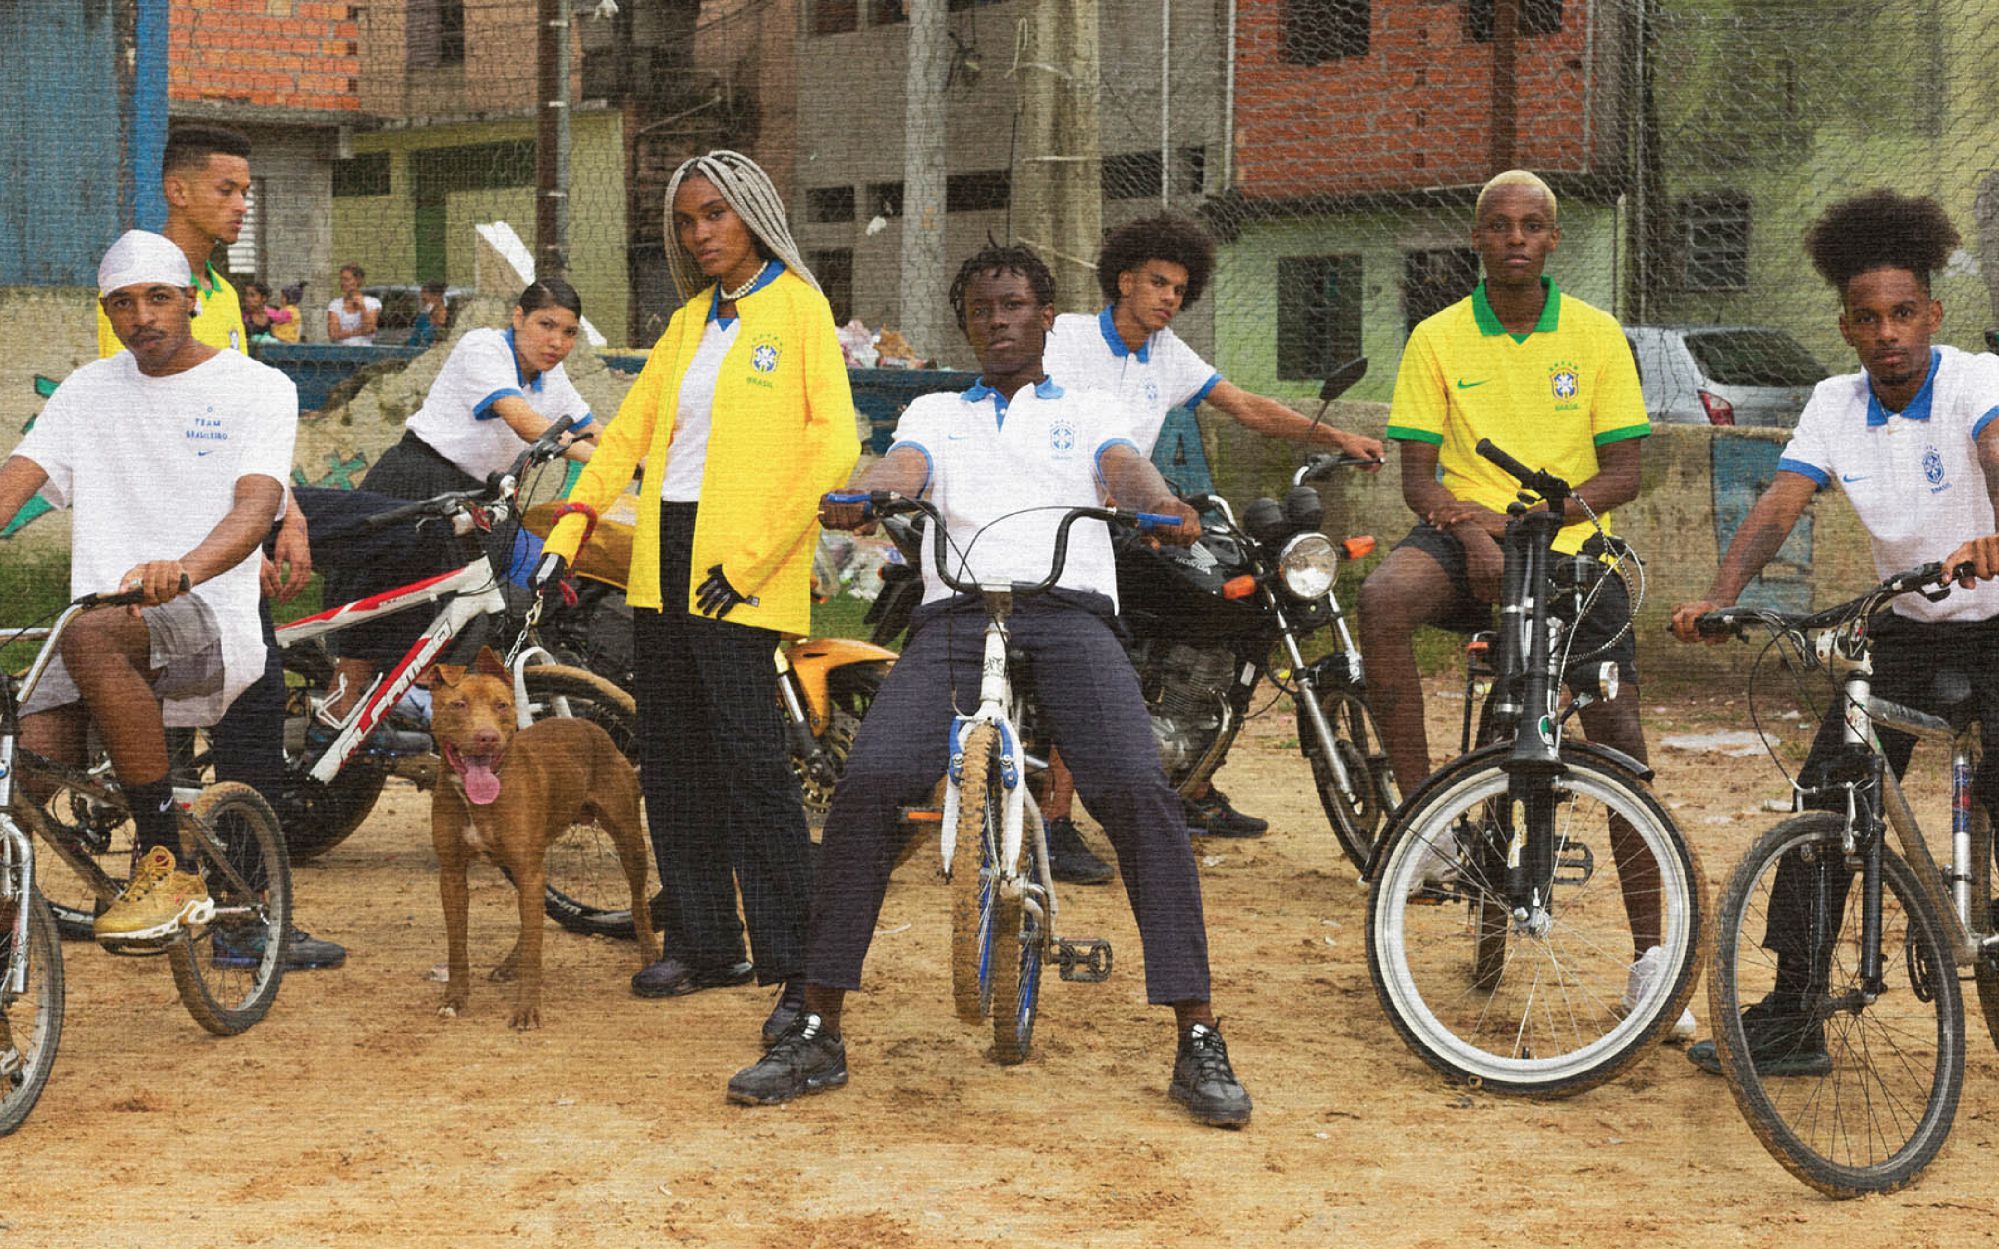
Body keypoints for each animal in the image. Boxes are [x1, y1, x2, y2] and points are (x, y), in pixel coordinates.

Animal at [427, 647, 659, 1031]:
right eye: (458, 705)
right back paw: (510, 962)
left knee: (638, 902)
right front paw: (454, 1000)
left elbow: (534, 952)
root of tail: (585, 723)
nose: (487, 737)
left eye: (502, 705)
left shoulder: (527, 869)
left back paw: (652, 957)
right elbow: (457, 945)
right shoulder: (452, 875)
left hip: (628, 839)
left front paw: (526, 1011)